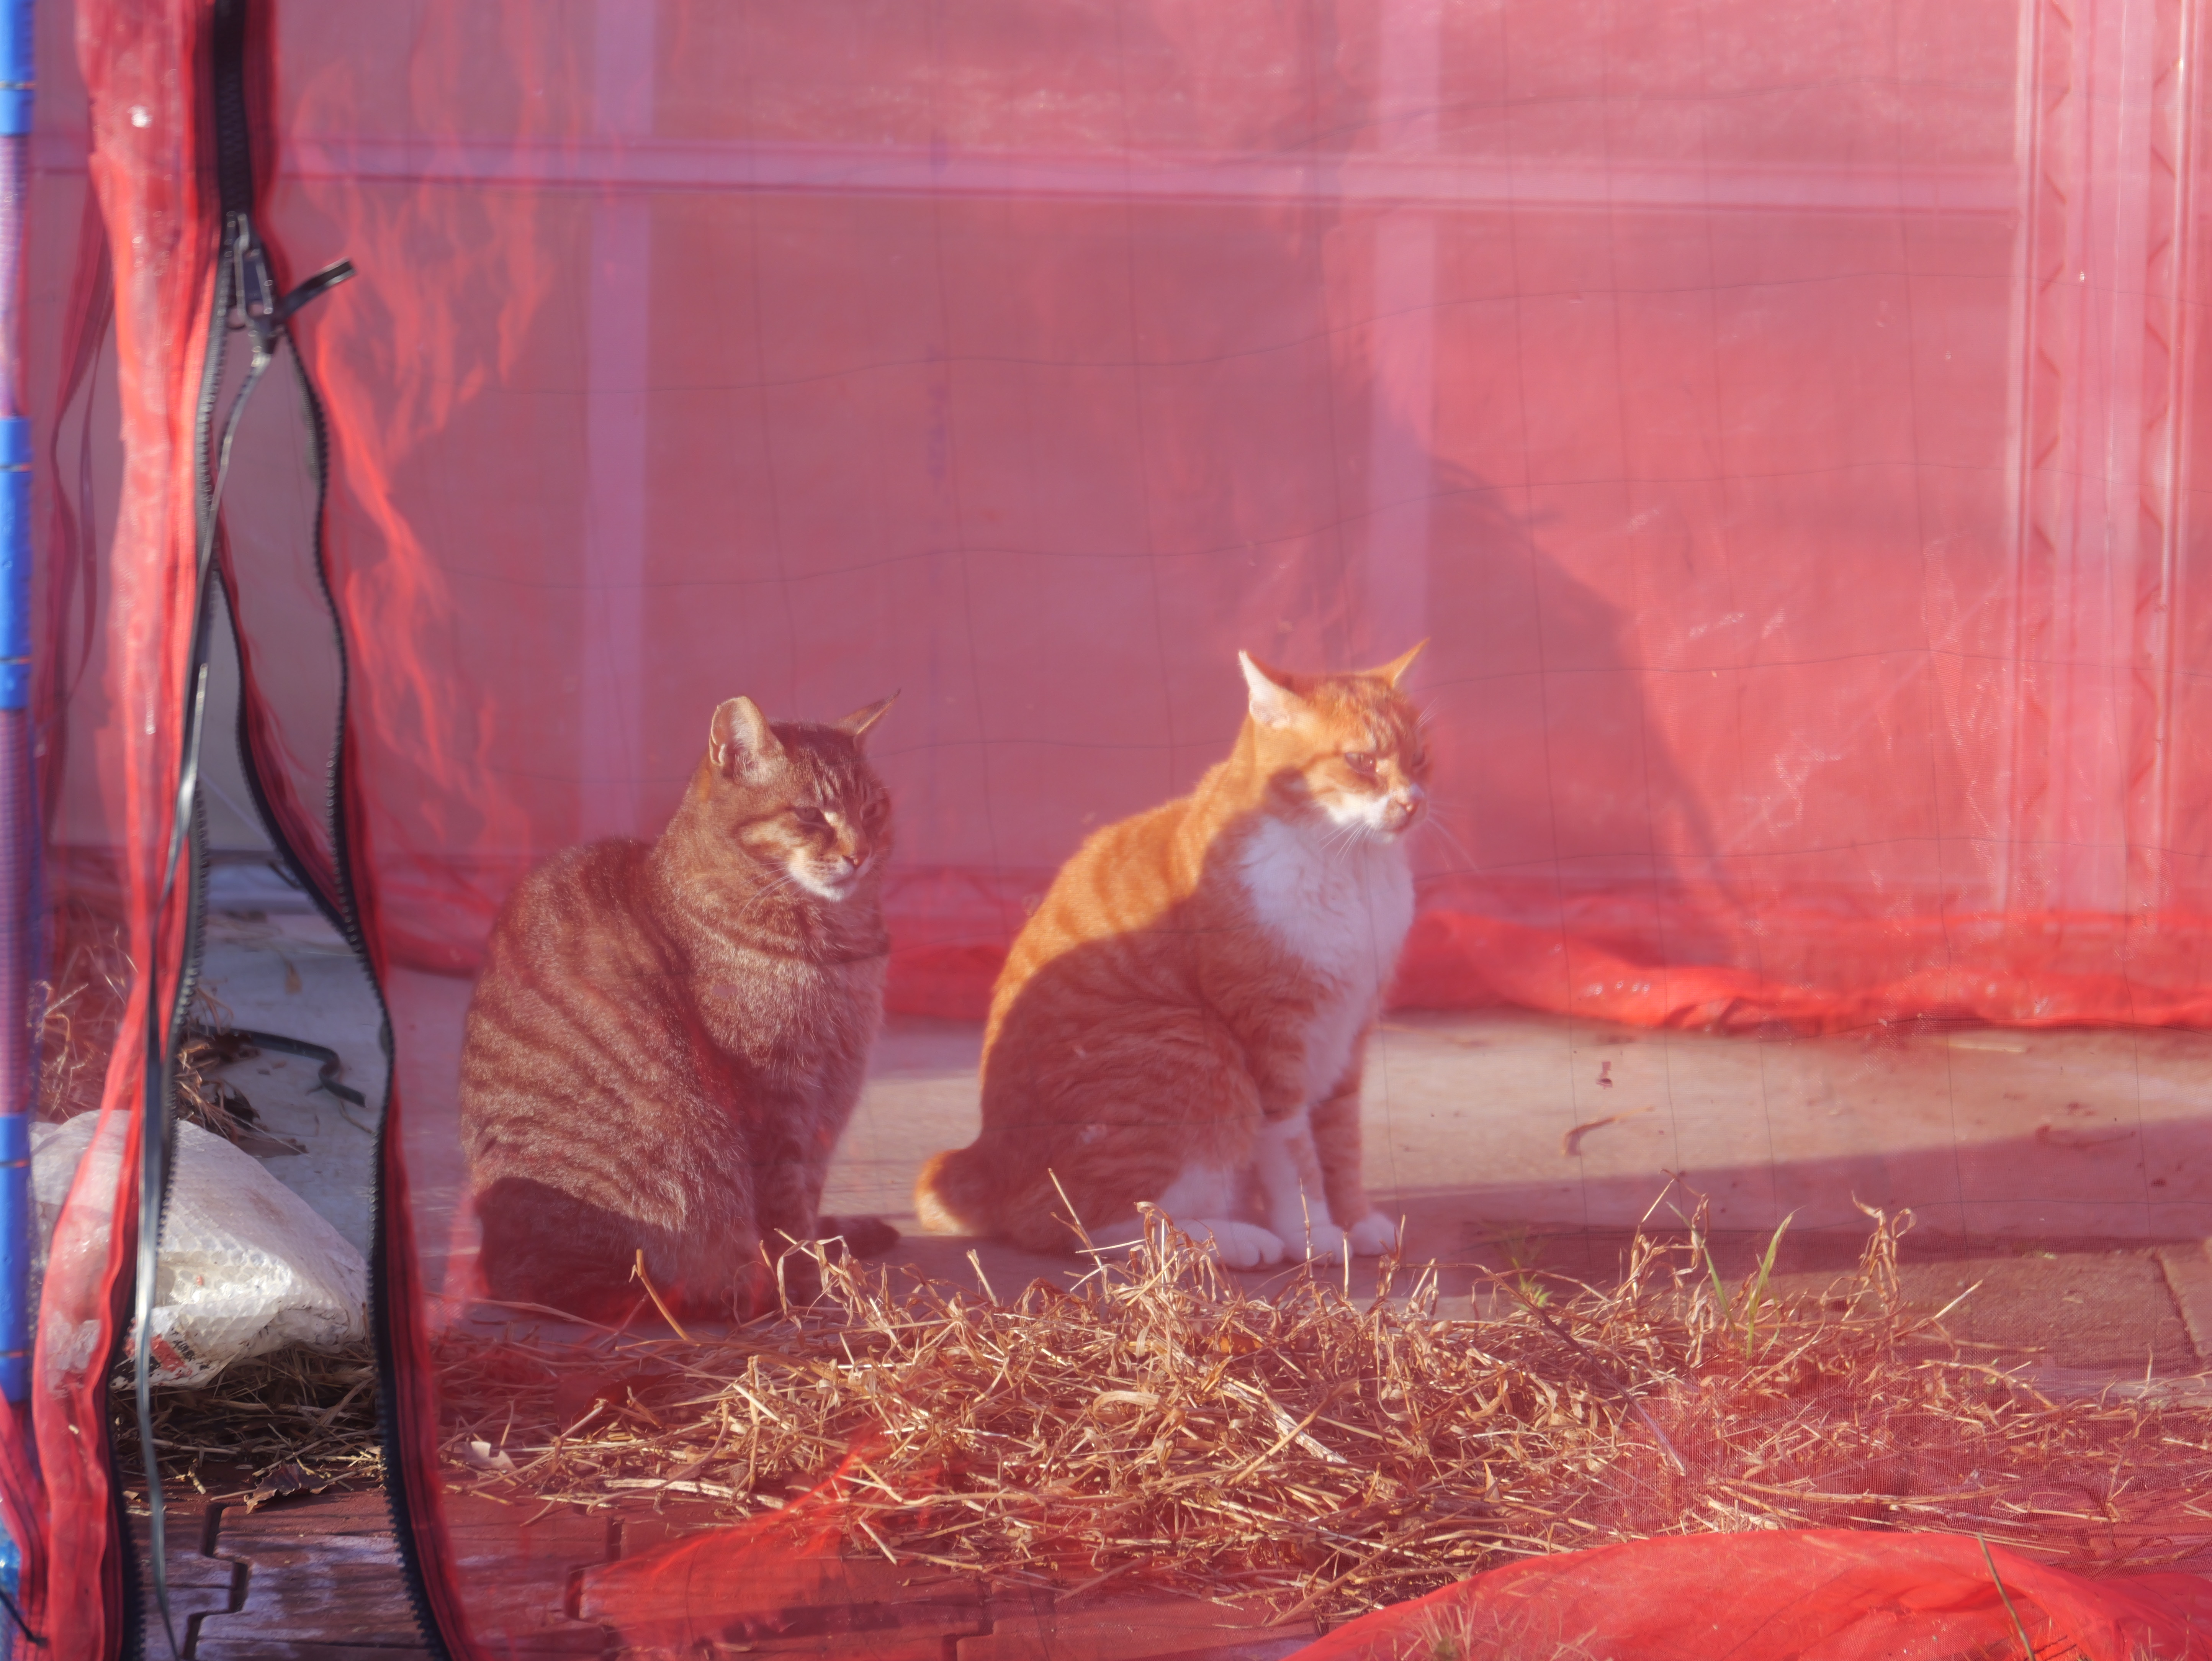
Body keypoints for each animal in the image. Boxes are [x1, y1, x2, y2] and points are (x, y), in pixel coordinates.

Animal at [459, 692, 900, 1323]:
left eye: (873, 808)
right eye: (811, 815)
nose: (860, 854)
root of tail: (494, 1266)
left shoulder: (830, 1096)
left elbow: (807, 1203)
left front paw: (822, 1262)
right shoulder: (777, 1100)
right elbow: (785, 1216)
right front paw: (808, 1288)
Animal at [914, 645, 1429, 1267]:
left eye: (1420, 759)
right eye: (1360, 761)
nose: (1411, 803)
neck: (1349, 866)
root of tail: (983, 1157)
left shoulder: (1347, 1035)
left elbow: (1340, 1142)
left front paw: (1354, 1220)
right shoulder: (1272, 1043)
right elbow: (1295, 1157)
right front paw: (1316, 1235)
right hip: (1194, 1052)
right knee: (1086, 1225)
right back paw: (1229, 1240)